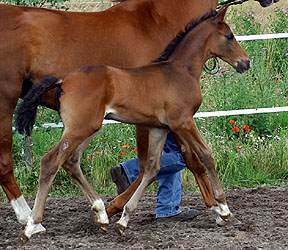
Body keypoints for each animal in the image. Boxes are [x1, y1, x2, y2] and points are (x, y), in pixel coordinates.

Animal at [16, 6, 250, 240]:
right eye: (229, 36)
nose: (246, 62)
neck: (180, 72)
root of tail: (64, 80)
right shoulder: (182, 122)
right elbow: (206, 155)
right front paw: (224, 209)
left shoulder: (159, 128)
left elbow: (152, 168)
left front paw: (124, 220)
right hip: (80, 128)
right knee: (50, 161)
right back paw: (31, 225)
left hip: (87, 127)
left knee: (71, 161)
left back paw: (101, 214)